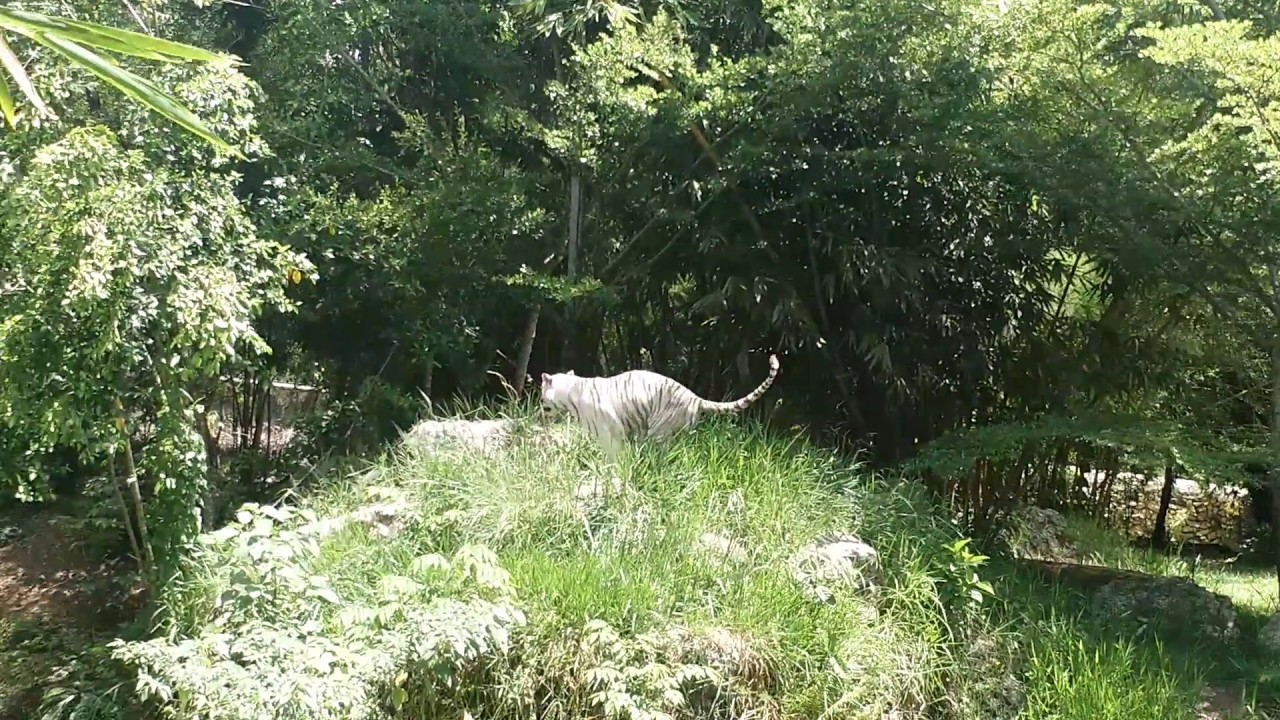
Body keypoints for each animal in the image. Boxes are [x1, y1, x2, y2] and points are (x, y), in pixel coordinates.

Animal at [539, 354, 780, 458]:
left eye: (542, 396)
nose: (539, 409)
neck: (570, 392)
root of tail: (695, 397)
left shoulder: (610, 431)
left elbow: (612, 453)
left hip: (658, 431)